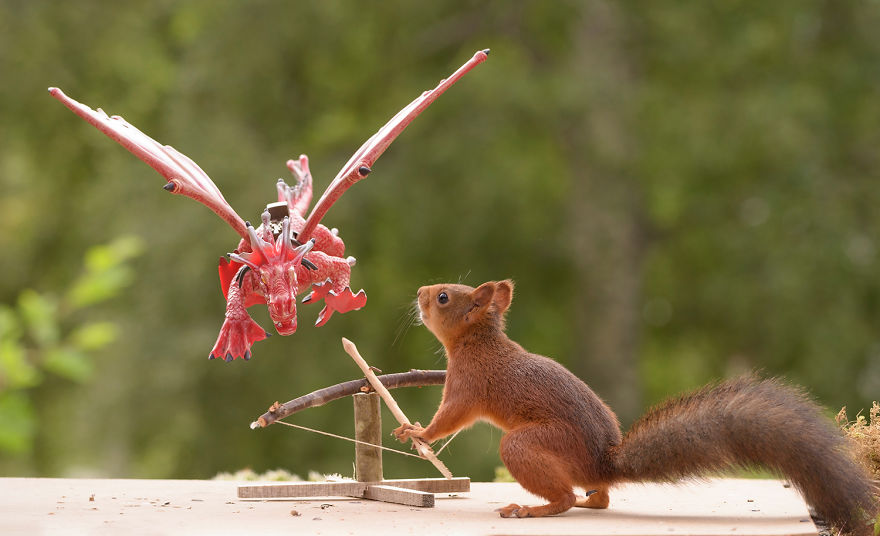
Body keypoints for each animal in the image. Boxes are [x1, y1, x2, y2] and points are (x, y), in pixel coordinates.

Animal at [393, 280, 879, 535]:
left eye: (443, 298)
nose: (418, 291)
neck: (476, 342)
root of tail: (605, 463)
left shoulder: (468, 386)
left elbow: (449, 418)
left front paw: (417, 432)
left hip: (526, 445)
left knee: (562, 497)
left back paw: (531, 509)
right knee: (600, 497)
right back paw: (588, 500)